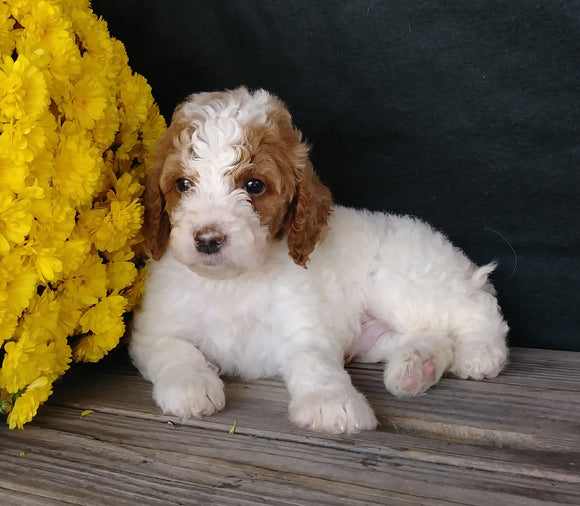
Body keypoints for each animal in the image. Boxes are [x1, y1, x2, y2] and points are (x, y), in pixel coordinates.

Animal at [130, 86, 508, 430]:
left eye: (254, 185)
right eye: (182, 184)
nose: (208, 240)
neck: (231, 282)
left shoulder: (305, 327)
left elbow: (315, 363)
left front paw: (331, 401)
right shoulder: (154, 328)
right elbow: (174, 350)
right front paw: (190, 385)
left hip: (407, 284)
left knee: (476, 309)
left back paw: (480, 354)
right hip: (376, 336)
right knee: (434, 337)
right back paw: (416, 367)